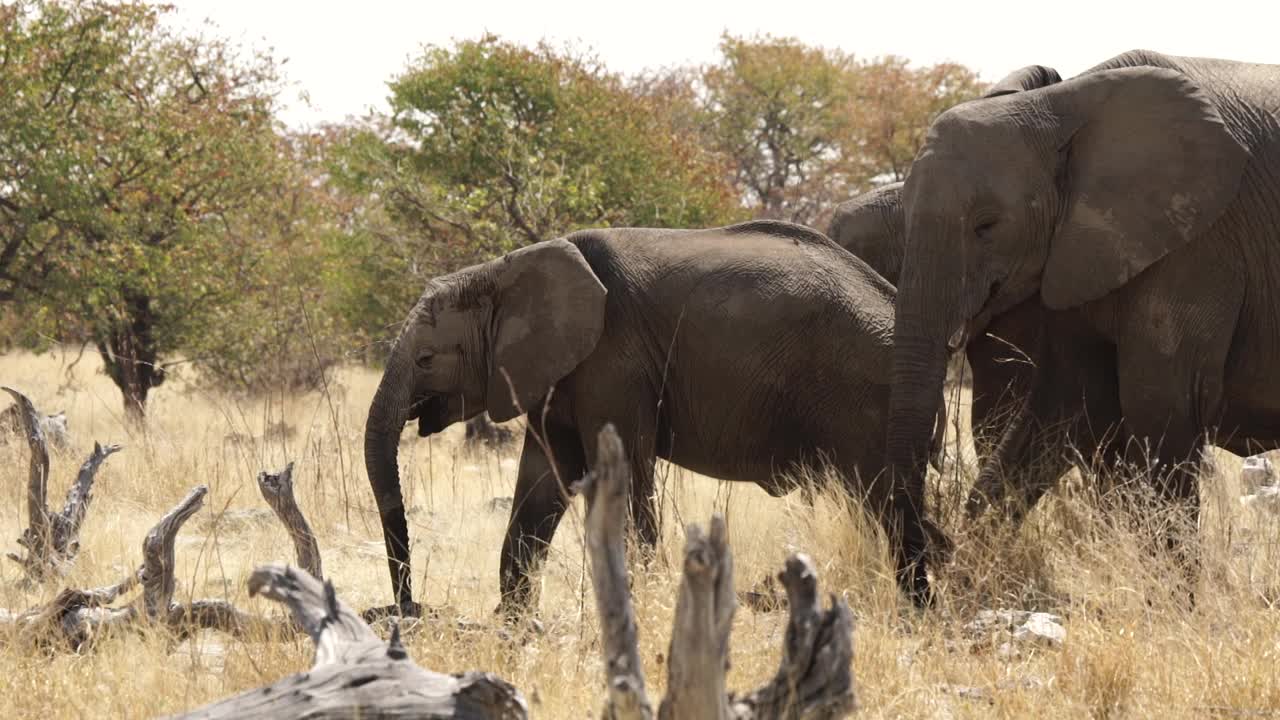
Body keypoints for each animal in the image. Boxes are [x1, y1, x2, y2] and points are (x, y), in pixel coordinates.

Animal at [366, 221, 947, 614]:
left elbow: (618, 476)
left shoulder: (613, 363)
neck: (499, 271)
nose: (408, 608)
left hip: (865, 392)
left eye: (426, 359)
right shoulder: (557, 373)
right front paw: (514, 625)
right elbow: (541, 484)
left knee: (887, 501)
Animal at [885, 50, 1280, 599]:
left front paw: (1174, 603)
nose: (934, 558)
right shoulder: (1076, 249)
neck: (1062, 105)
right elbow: (1067, 403)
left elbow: (1161, 407)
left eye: (986, 226)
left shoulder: (1200, 243)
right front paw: (973, 584)